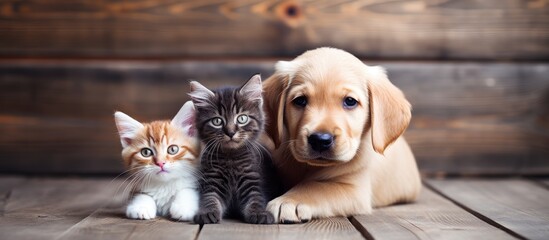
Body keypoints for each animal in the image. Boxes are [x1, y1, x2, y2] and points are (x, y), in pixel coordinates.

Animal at [189, 74, 274, 224]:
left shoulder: (253, 178)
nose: (230, 132)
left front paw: (259, 213)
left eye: (242, 119)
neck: (231, 158)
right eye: (217, 121)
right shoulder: (212, 179)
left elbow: (256, 198)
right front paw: (207, 212)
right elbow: (209, 198)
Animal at [262, 47, 420, 223]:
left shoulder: (354, 189)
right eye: (300, 100)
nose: (320, 140)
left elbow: (317, 186)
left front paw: (289, 200)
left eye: (350, 101)